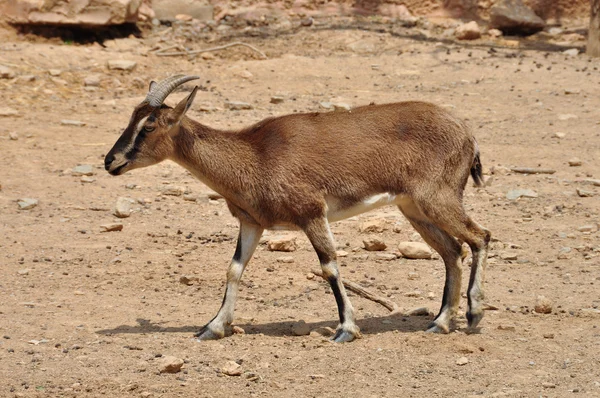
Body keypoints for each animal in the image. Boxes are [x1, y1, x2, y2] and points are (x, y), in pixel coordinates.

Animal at [104, 75, 492, 342]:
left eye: (149, 125)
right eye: (132, 117)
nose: (111, 161)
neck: (255, 155)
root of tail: (467, 134)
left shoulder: (311, 213)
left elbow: (329, 267)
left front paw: (346, 329)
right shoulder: (252, 223)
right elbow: (234, 269)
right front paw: (212, 328)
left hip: (437, 198)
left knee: (480, 236)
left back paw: (473, 314)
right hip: (414, 208)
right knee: (453, 250)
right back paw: (440, 322)